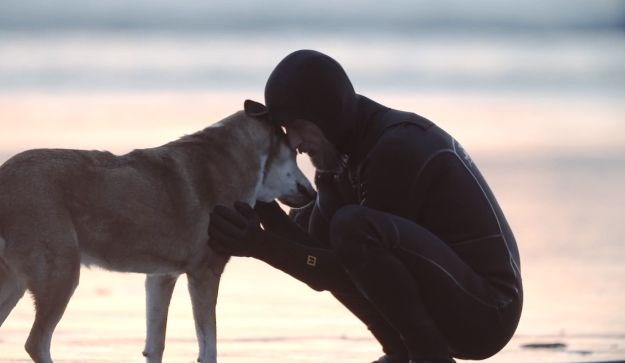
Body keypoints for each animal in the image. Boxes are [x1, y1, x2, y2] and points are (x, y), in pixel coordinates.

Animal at [0, 109, 312, 363]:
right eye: (295, 154)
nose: (312, 193)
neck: (236, 159)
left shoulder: (161, 277)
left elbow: (155, 344)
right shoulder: (205, 273)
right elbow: (208, 347)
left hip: (15, 283)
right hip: (61, 275)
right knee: (35, 343)